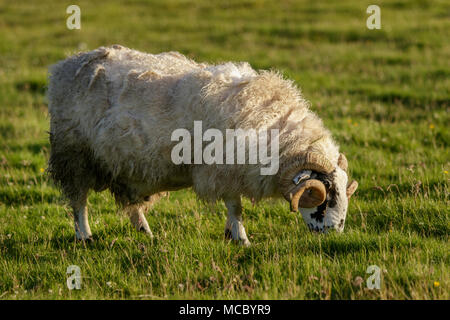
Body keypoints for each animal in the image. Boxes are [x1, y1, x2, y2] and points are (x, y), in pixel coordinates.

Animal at [47, 45, 358, 245]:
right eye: (325, 198)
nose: (334, 234)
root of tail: (65, 65)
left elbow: (234, 208)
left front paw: (230, 235)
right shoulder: (223, 170)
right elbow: (235, 207)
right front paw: (242, 239)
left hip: (124, 167)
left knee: (131, 205)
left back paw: (147, 234)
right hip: (73, 155)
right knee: (78, 201)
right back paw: (85, 236)